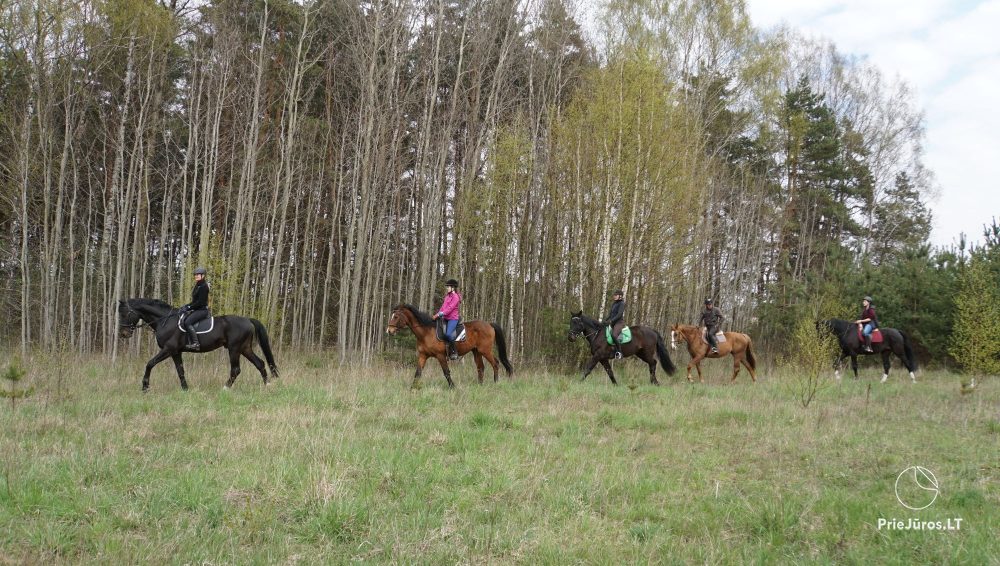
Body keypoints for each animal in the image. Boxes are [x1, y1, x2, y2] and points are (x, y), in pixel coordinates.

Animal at [118, 298, 278, 391]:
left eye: (125, 313)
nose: (124, 334)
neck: (165, 320)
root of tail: (248, 320)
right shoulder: (176, 352)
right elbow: (180, 370)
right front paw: (185, 389)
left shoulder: (168, 349)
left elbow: (150, 363)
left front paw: (145, 386)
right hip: (245, 348)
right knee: (260, 363)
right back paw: (267, 385)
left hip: (234, 348)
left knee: (236, 369)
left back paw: (225, 388)